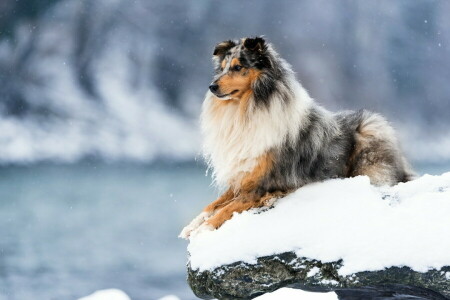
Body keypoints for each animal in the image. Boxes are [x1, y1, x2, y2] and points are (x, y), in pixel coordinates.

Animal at [179, 37, 414, 239]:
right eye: (222, 68)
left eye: (238, 67)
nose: (212, 86)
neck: (248, 109)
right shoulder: (243, 177)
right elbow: (213, 204)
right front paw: (191, 226)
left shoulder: (260, 185)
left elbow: (226, 209)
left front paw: (203, 229)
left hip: (370, 143)